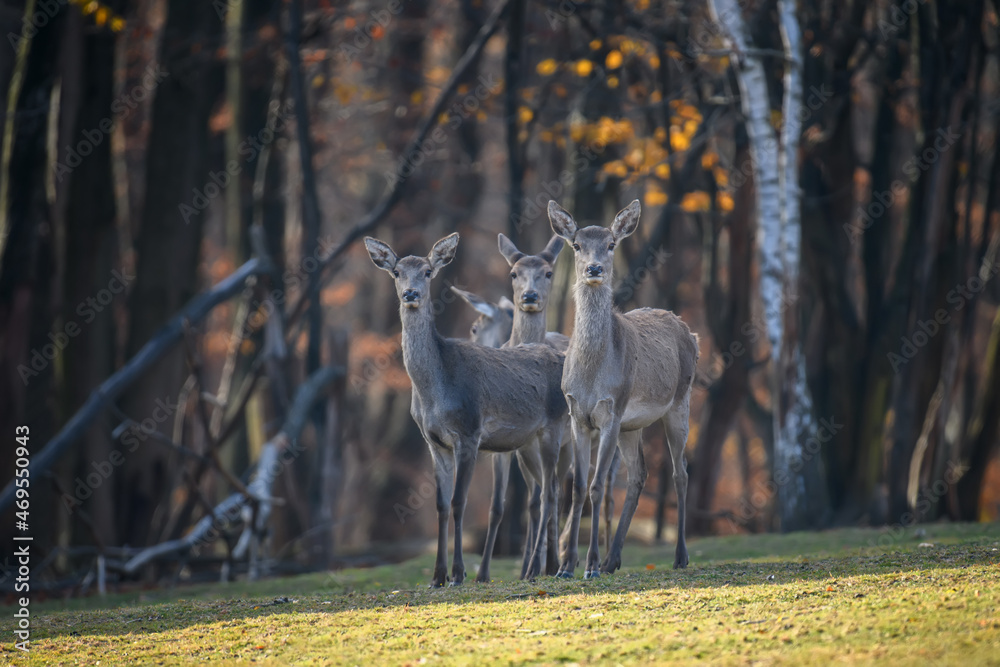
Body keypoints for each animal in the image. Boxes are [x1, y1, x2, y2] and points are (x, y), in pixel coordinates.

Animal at [366, 234, 572, 584]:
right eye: (396, 272)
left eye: (428, 272)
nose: (411, 294)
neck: (435, 394)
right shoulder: (434, 442)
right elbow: (440, 504)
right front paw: (437, 576)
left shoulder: (469, 432)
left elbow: (459, 501)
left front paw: (460, 572)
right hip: (527, 443)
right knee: (549, 492)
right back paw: (547, 566)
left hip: (554, 428)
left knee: (551, 493)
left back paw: (546, 567)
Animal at [548, 200, 704, 580]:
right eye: (576, 245)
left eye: (611, 244)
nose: (594, 268)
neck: (592, 375)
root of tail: (692, 334)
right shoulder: (577, 415)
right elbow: (577, 487)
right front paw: (566, 567)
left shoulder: (611, 411)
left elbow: (596, 485)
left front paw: (588, 566)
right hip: (632, 426)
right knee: (639, 474)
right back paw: (612, 559)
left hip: (679, 402)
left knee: (680, 471)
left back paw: (679, 556)